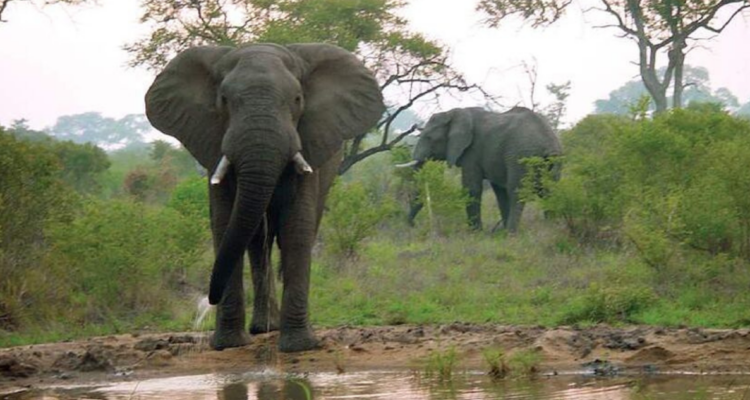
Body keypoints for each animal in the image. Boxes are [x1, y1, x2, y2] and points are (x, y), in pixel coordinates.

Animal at [144, 43, 384, 352]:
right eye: (224, 100)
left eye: (297, 99)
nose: (208, 299)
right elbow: (224, 225)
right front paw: (229, 345)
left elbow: (296, 229)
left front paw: (299, 346)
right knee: (257, 241)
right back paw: (262, 328)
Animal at [399, 106, 561, 233]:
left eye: (429, 138)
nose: (413, 225)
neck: (453, 112)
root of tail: (547, 141)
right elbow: (500, 191)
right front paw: (496, 232)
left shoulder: (472, 151)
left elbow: (472, 188)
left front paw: (475, 233)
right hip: (552, 160)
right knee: (549, 191)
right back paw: (551, 228)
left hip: (521, 155)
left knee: (517, 191)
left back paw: (512, 233)